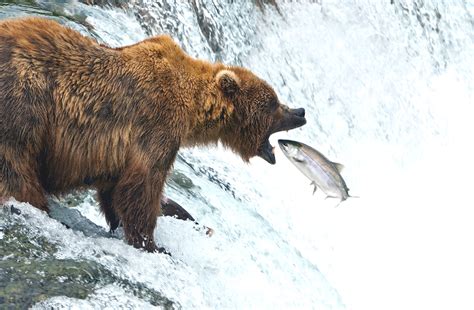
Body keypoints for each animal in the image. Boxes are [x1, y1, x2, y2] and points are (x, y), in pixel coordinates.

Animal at [0, 17, 308, 252]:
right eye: (273, 103)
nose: (300, 112)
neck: (191, 105)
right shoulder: (155, 125)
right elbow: (141, 186)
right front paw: (153, 244)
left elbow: (119, 189)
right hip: (25, 102)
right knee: (16, 166)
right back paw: (37, 205)